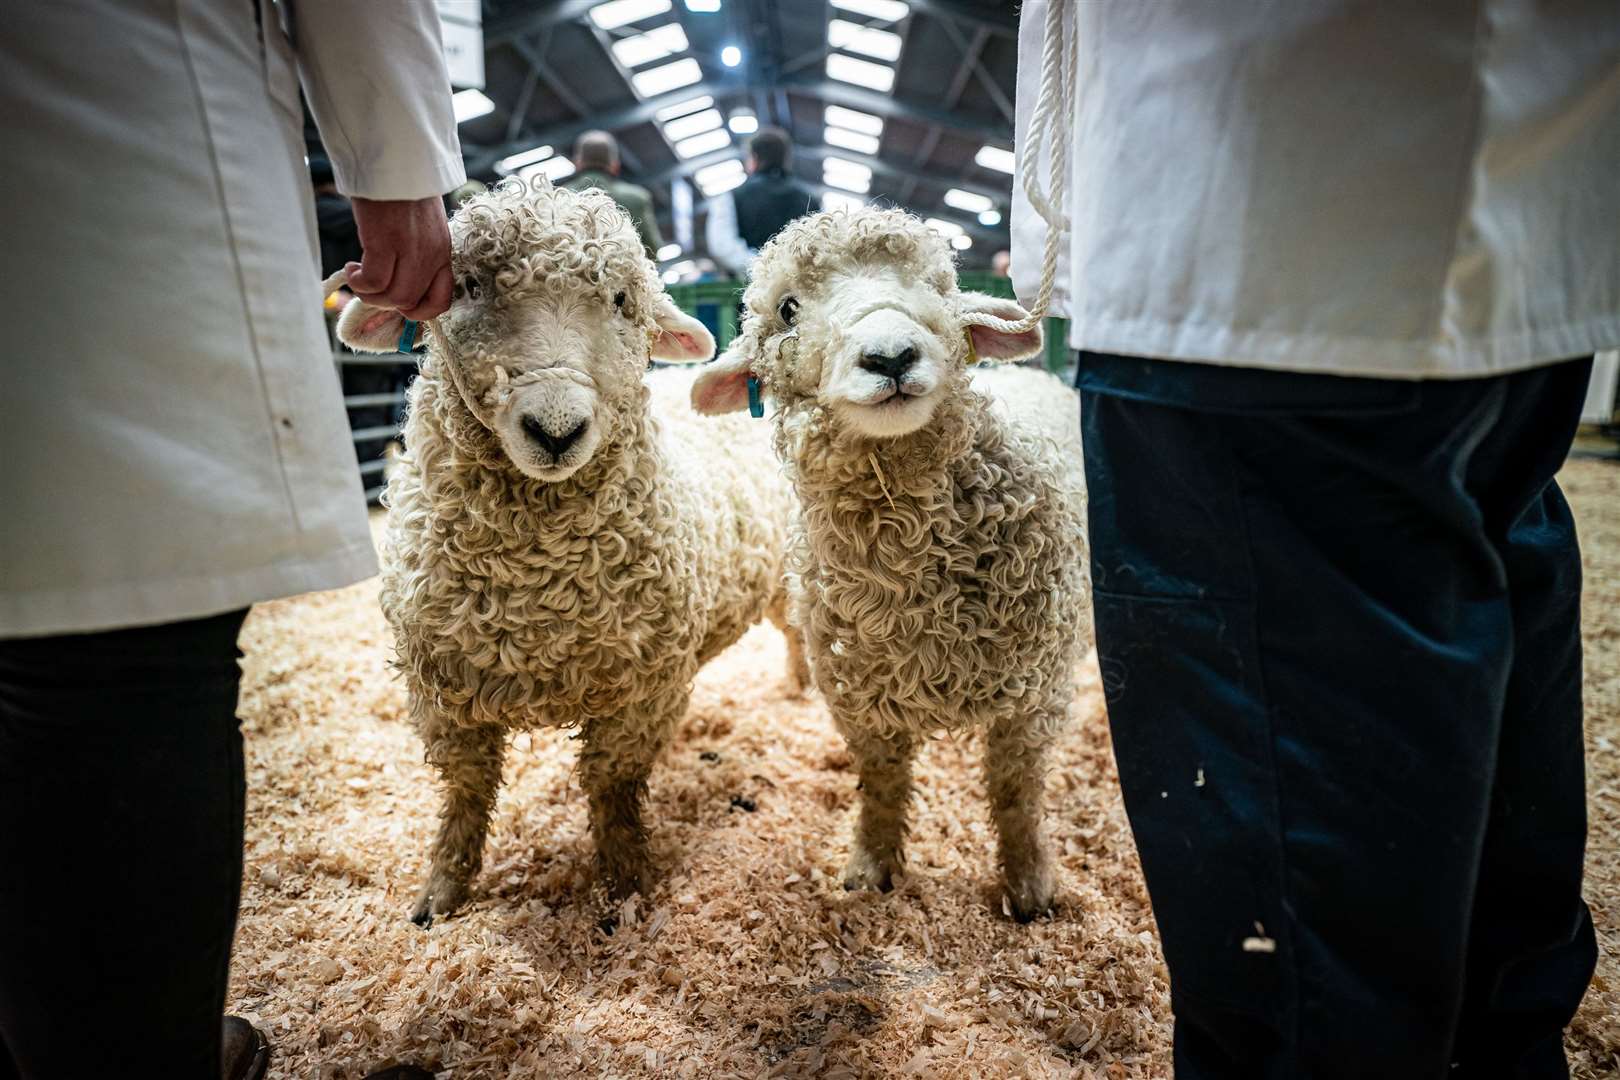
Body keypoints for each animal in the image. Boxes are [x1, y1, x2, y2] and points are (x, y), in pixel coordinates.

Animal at [335, 181, 803, 926]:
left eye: (621, 299)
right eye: (468, 286)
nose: (556, 430)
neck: (540, 586)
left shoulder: (643, 692)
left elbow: (612, 788)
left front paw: (626, 885)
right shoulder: (442, 692)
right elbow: (465, 793)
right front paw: (441, 892)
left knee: (795, 635)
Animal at [690, 208, 1095, 919]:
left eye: (936, 285)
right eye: (788, 309)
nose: (891, 356)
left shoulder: (1034, 694)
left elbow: (1017, 795)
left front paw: (1030, 888)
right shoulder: (858, 697)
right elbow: (880, 785)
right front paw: (870, 869)